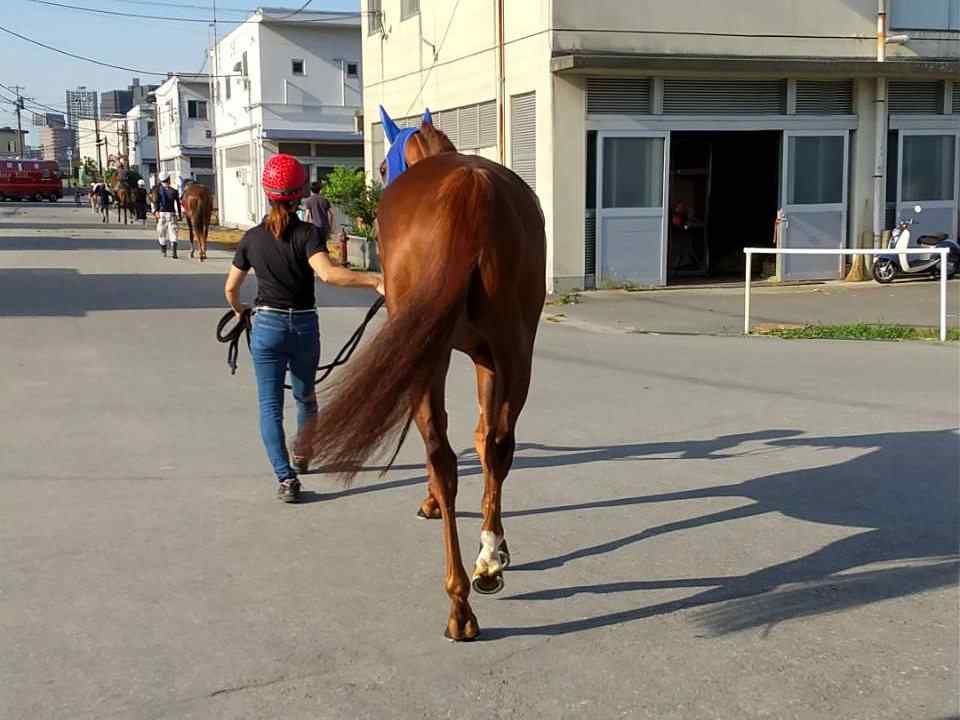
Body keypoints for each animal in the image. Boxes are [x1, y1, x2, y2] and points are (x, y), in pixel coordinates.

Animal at [310, 108, 548, 640]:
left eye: (381, 167)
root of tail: (471, 188)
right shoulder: (487, 357)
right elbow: (484, 438)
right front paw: (496, 546)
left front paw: (432, 504)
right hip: (517, 350)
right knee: (500, 442)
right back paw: (487, 562)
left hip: (432, 357)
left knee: (441, 454)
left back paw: (459, 603)